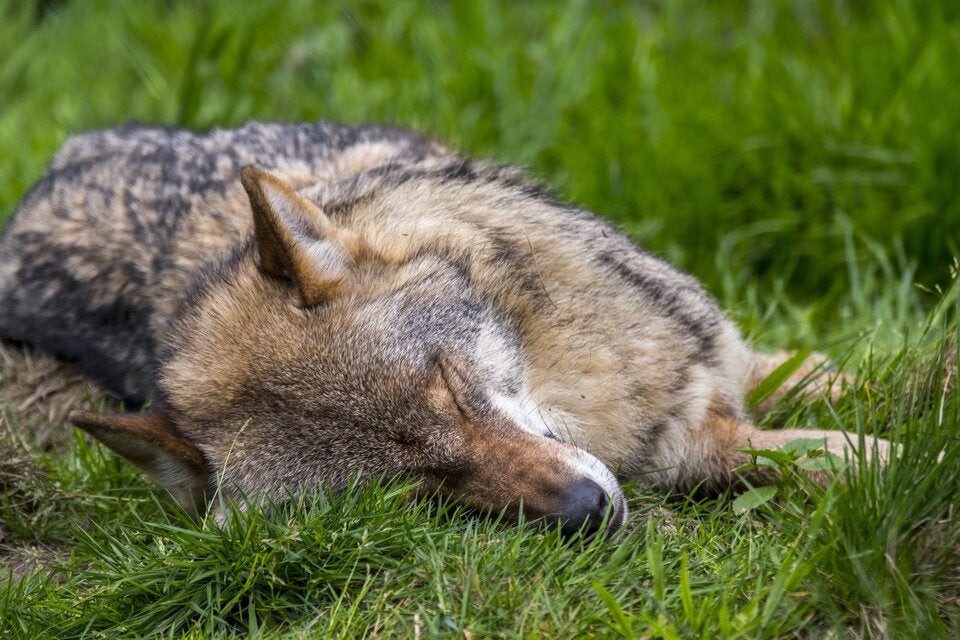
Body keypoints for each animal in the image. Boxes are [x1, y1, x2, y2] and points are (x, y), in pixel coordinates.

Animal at [0, 122, 891, 535]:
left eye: (452, 388)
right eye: (417, 488)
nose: (586, 512)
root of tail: (45, 178)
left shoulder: (732, 356)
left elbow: (849, 373)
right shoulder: (694, 447)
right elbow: (810, 451)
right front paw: (874, 454)